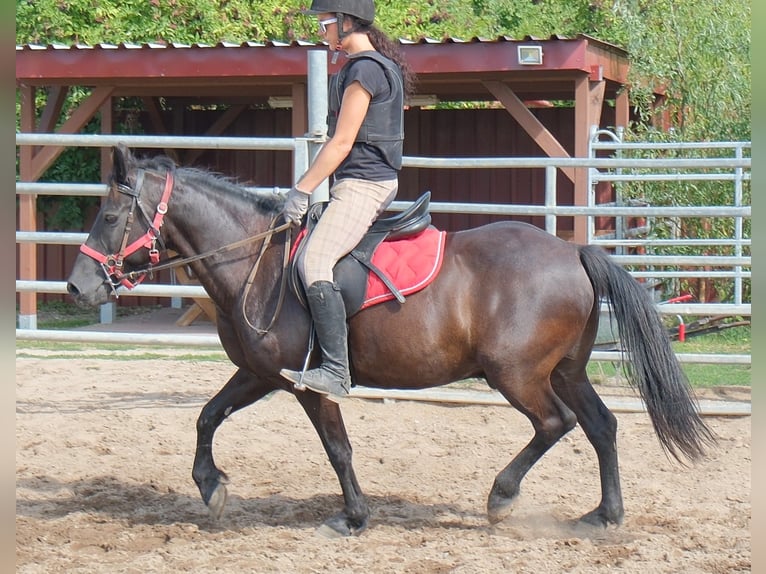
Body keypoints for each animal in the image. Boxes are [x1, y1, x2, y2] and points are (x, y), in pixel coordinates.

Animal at [66, 144, 715, 537]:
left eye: (109, 217)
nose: (77, 285)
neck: (256, 260)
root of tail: (574, 252)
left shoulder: (307, 383)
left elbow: (337, 448)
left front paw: (353, 517)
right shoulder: (259, 373)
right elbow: (206, 415)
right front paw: (210, 486)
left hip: (518, 374)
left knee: (556, 423)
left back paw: (502, 496)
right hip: (565, 370)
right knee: (601, 425)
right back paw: (605, 515)